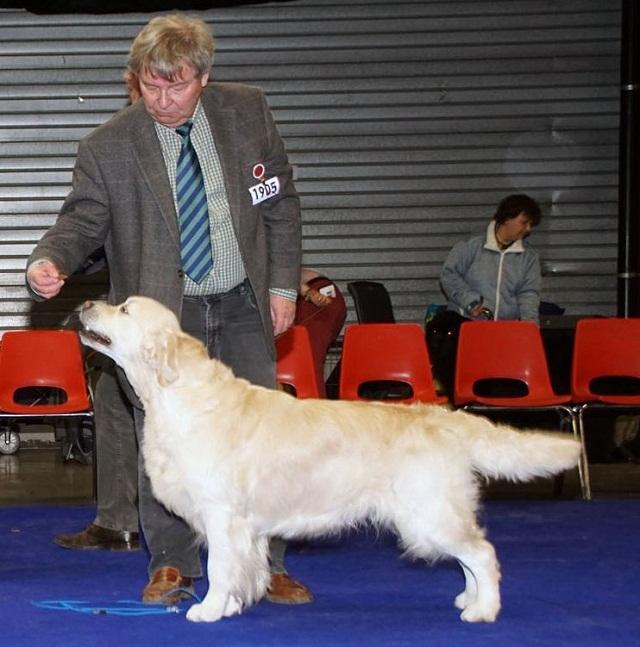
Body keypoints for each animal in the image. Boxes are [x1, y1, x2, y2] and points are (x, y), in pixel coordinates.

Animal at [77, 298, 584, 624]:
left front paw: (209, 609)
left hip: (427, 513)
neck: (177, 393)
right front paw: (232, 605)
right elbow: (242, 567)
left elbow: (221, 567)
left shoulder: (223, 515)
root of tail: (444, 418)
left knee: (483, 553)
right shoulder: (241, 527)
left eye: (124, 309)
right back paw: (467, 598)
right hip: (434, 513)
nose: (84, 304)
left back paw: (483, 609)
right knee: (470, 557)